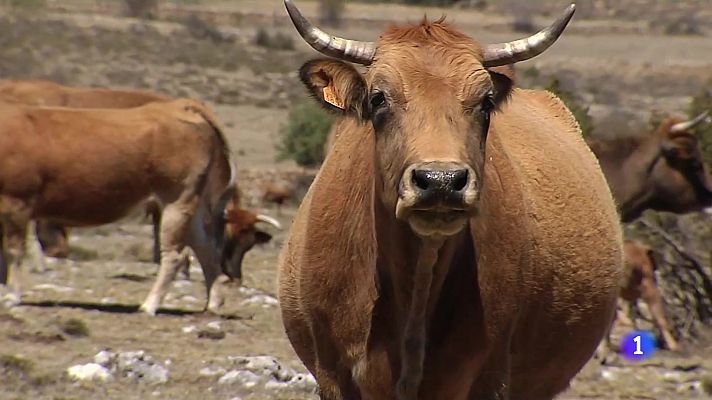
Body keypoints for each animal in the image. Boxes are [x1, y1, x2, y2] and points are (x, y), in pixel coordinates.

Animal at [0, 98, 245, 314]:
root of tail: (176, 106)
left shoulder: (16, 202)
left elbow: (14, 251)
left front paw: (12, 297)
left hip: (176, 201)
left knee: (175, 255)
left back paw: (149, 305)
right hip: (192, 206)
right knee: (206, 249)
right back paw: (212, 303)